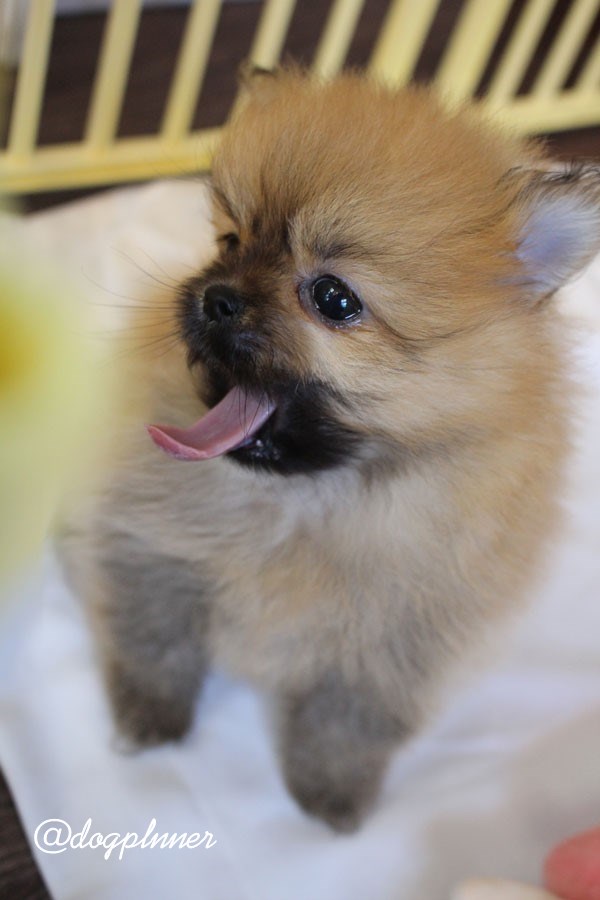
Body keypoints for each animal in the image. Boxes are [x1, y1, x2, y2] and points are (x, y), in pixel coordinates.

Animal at [61, 68, 600, 832]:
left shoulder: (397, 640)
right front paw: (150, 719)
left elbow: (349, 720)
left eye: (335, 298)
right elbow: (156, 641)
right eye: (230, 241)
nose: (217, 296)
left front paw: (330, 795)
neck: (305, 500)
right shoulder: (158, 550)